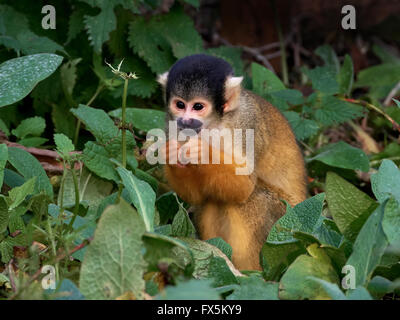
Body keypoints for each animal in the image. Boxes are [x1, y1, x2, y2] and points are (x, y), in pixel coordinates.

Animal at [156, 55, 306, 270]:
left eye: (198, 107)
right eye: (180, 105)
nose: (185, 121)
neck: (215, 124)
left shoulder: (247, 125)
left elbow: (244, 186)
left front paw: (202, 152)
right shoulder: (173, 126)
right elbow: (196, 196)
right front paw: (171, 155)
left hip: (288, 227)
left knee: (251, 199)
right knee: (213, 198)